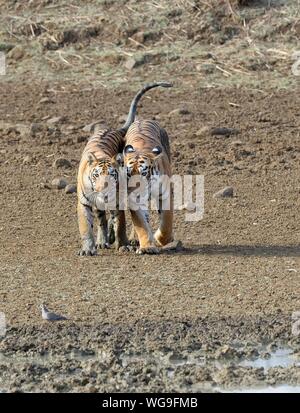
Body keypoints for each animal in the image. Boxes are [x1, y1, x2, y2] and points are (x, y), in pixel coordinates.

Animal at [76, 81, 172, 254]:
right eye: (96, 175)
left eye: (112, 175)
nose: (103, 191)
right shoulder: (84, 203)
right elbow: (86, 227)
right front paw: (87, 249)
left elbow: (123, 224)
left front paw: (125, 244)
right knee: (102, 219)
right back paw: (103, 241)